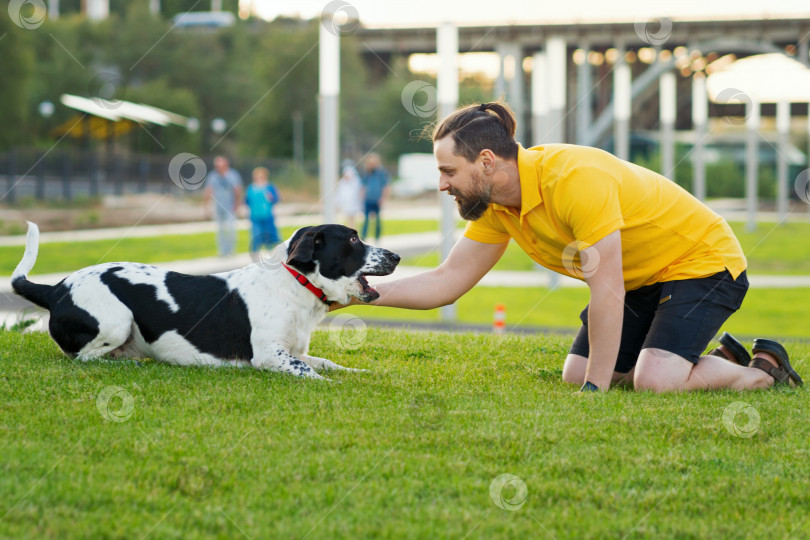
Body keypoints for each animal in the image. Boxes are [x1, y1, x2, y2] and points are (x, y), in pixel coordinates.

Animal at [8, 221, 394, 378]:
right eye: (354, 239)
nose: (397, 256)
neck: (294, 283)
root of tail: (56, 288)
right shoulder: (271, 356)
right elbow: (313, 374)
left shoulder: (296, 351)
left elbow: (327, 363)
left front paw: (357, 372)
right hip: (116, 322)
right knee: (84, 358)